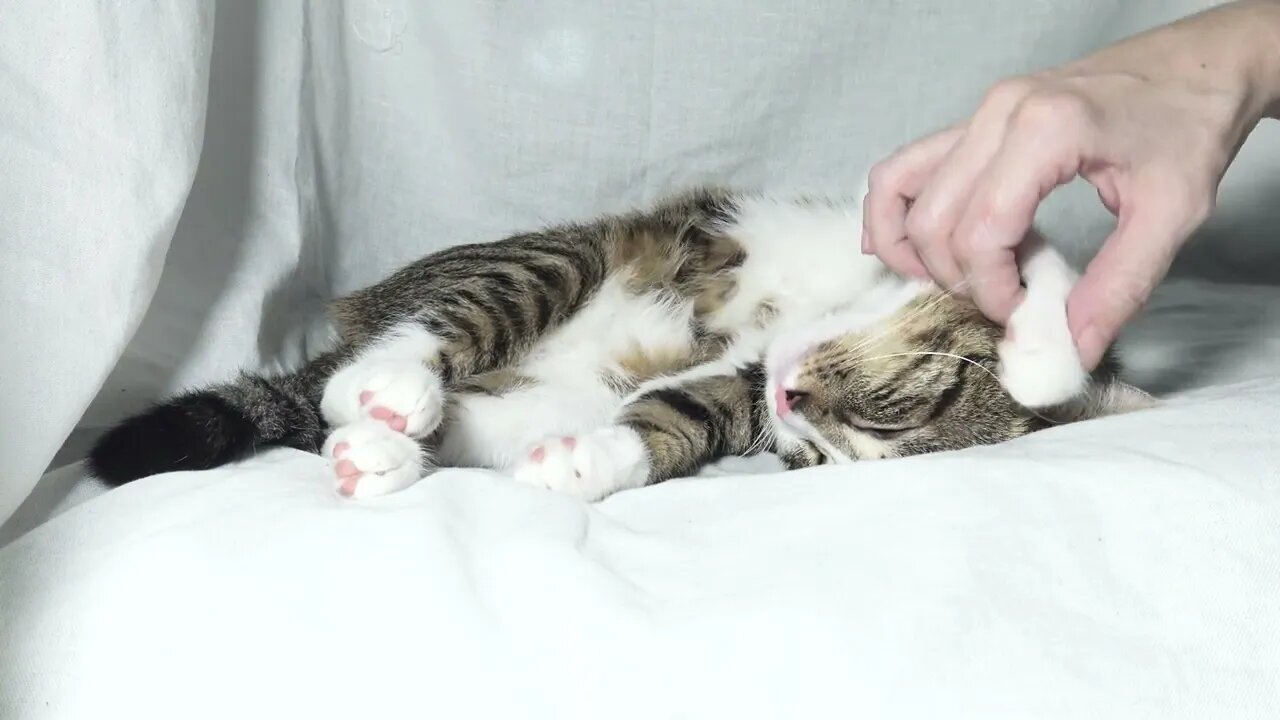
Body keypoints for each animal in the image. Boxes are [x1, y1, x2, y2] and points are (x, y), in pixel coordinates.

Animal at [85, 184, 1157, 499]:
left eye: (813, 460)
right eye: (909, 406)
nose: (794, 404)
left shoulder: (739, 383)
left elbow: (692, 408)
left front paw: (593, 462)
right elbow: (1044, 266)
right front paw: (1045, 358)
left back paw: (377, 451)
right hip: (558, 258)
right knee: (411, 342)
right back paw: (389, 390)